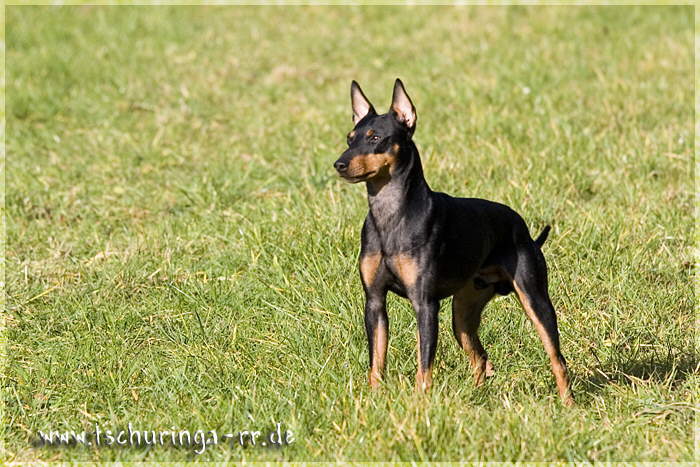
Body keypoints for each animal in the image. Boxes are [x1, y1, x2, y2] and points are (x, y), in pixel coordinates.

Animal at [333, 79, 573, 406]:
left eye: (376, 138)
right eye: (350, 138)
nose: (339, 164)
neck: (391, 215)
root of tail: (522, 227)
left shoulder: (425, 304)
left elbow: (424, 365)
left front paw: (420, 403)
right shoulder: (374, 302)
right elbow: (377, 361)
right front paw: (374, 398)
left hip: (535, 299)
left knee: (557, 358)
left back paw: (568, 403)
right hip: (462, 315)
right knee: (481, 357)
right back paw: (478, 397)